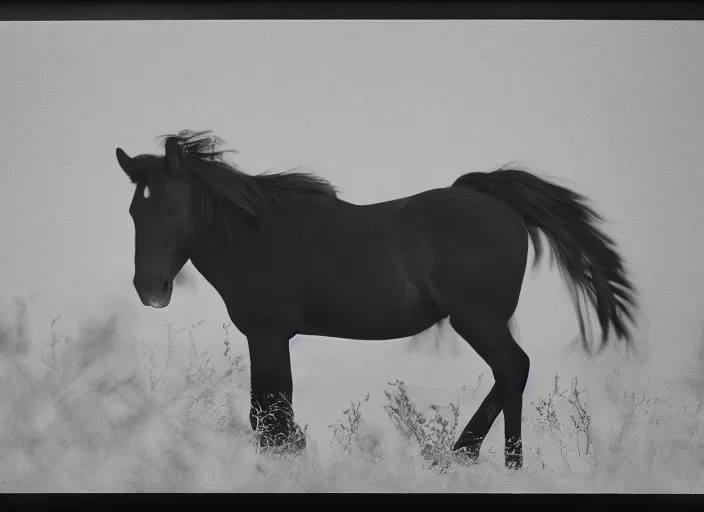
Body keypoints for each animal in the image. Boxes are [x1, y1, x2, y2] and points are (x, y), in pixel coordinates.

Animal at [117, 131, 640, 468]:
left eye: (171, 208)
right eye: (134, 211)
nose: (150, 290)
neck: (256, 235)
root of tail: (499, 203)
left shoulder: (268, 333)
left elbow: (271, 409)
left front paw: (287, 454)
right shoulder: (268, 336)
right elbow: (269, 408)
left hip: (477, 319)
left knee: (512, 368)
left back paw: (503, 461)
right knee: (510, 372)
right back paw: (464, 453)